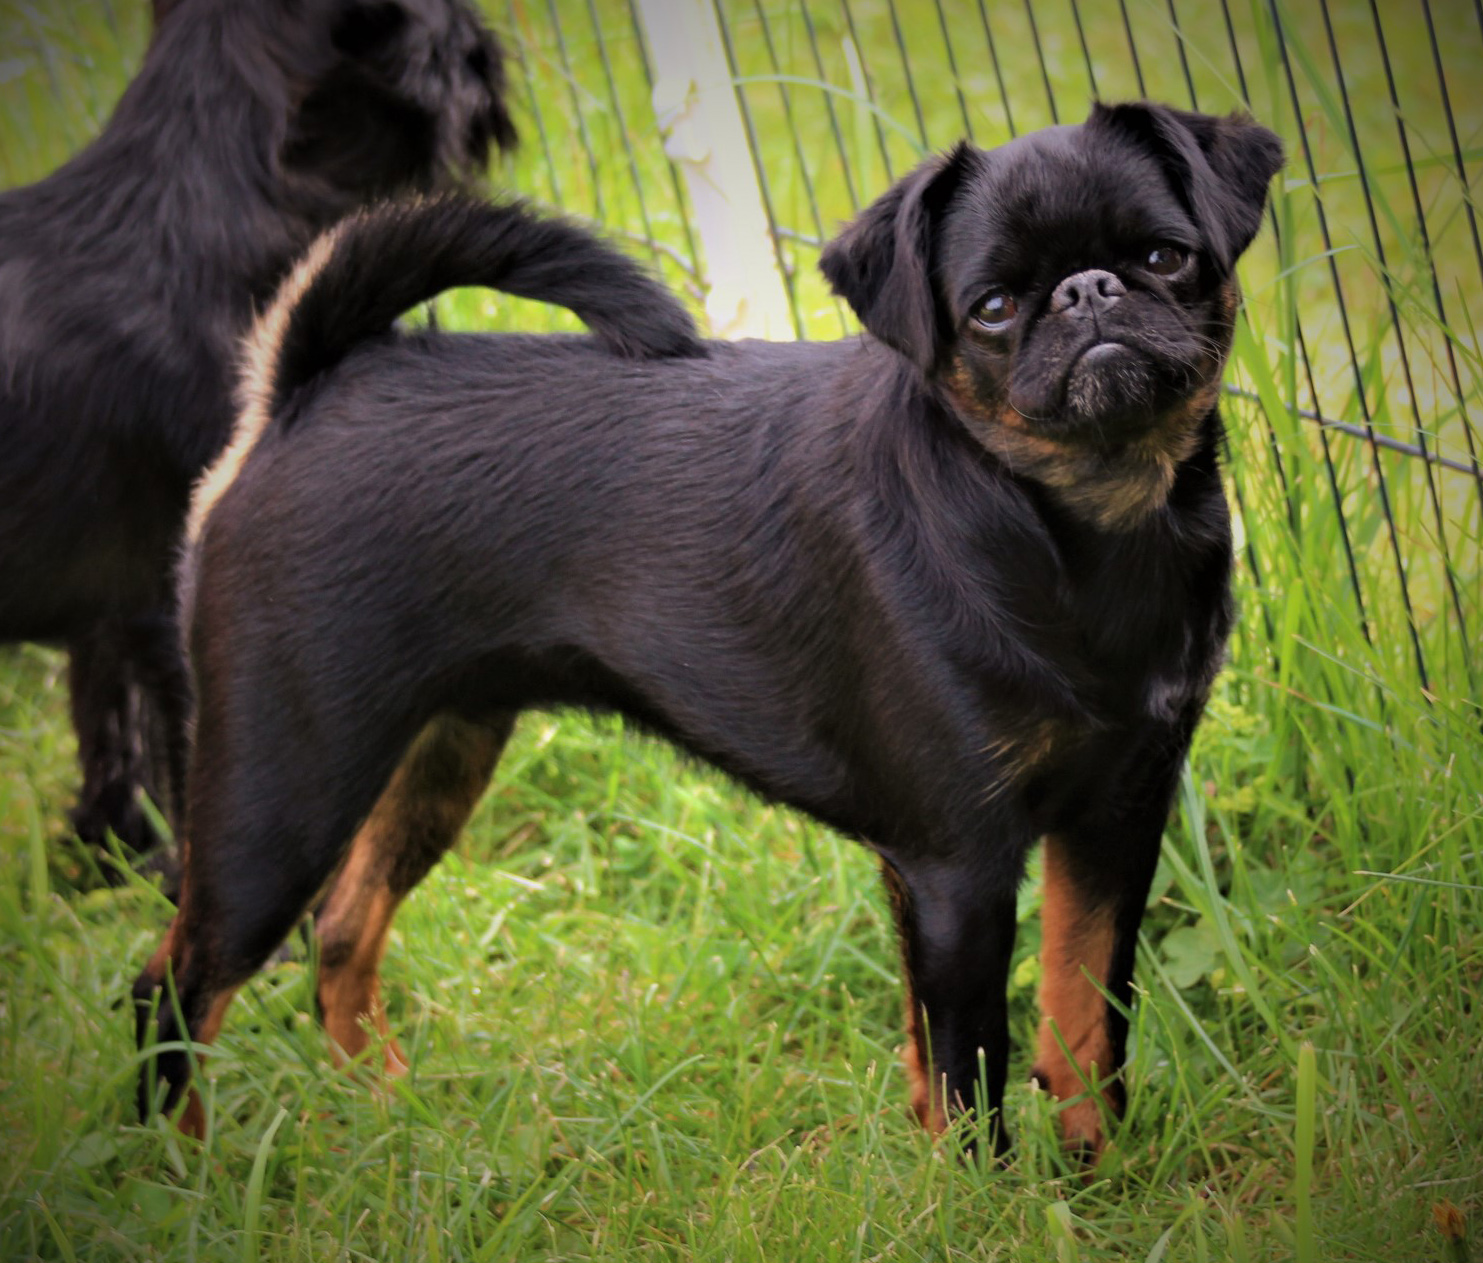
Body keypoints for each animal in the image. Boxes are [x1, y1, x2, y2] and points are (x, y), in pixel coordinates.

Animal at [0, 0, 515, 863]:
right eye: (449, 35)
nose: (487, 58)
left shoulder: (113, 609)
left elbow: (111, 732)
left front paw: (111, 857)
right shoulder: (187, 605)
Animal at [135, 102, 1282, 1158]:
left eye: (1164, 257)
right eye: (994, 308)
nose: (1089, 290)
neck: (1080, 527)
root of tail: (302, 391)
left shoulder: (1113, 818)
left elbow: (1085, 1018)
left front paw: (1098, 1175)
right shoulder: (959, 864)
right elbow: (968, 1076)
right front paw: (988, 1202)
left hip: (436, 753)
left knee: (339, 930)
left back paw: (385, 1107)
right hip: (284, 793)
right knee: (176, 983)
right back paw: (178, 1172)